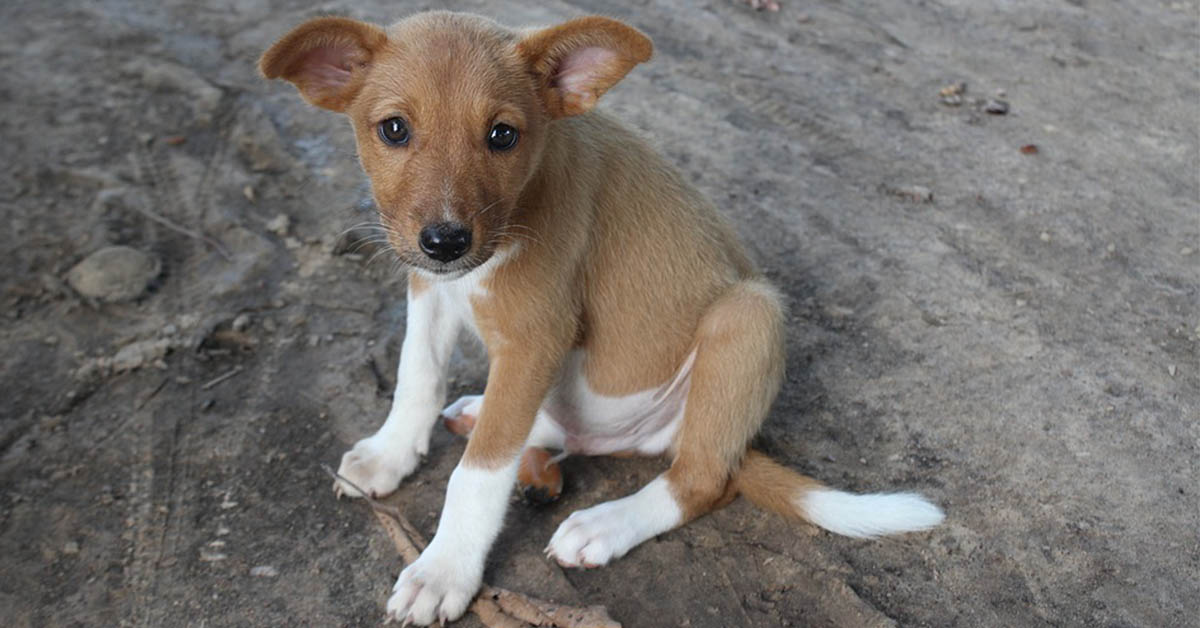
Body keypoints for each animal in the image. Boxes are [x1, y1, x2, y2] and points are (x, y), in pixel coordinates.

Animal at [262, 12, 945, 624]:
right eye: (395, 129)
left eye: (502, 135)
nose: (446, 242)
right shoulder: (429, 289)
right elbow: (417, 376)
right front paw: (391, 453)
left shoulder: (536, 337)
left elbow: (478, 475)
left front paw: (444, 570)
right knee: (558, 430)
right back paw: (487, 414)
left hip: (749, 316)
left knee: (701, 478)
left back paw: (607, 523)